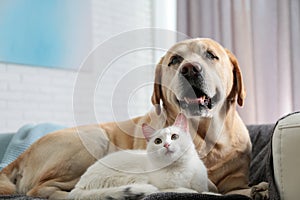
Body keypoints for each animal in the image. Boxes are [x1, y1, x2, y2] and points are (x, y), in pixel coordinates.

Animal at [68, 113, 209, 199]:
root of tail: (78, 187)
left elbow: (204, 190)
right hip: (134, 175)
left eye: (174, 136)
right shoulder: (163, 186)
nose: (166, 145)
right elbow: (178, 190)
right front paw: (190, 191)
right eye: (158, 141)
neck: (179, 169)